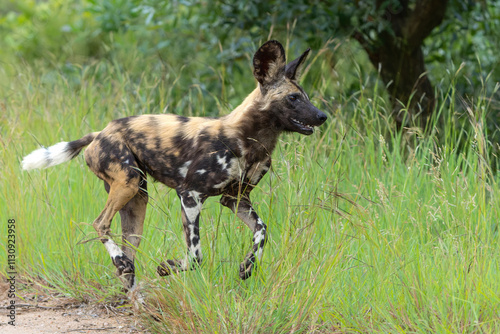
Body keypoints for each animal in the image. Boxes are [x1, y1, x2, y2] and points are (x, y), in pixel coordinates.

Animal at [21, 40, 328, 294]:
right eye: (293, 98)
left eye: (306, 97)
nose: (323, 116)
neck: (251, 140)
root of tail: (99, 132)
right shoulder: (190, 194)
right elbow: (195, 255)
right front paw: (167, 267)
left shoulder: (236, 199)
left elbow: (262, 231)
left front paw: (247, 267)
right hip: (128, 183)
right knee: (100, 224)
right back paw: (124, 269)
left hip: (137, 201)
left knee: (128, 252)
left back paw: (132, 286)